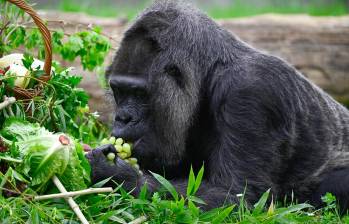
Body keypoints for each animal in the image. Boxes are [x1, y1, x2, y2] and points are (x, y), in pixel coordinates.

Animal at [86, 0, 348, 210]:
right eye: (119, 91)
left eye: (139, 93)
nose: (123, 118)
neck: (209, 73)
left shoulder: (253, 90)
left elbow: (238, 194)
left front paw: (120, 177)